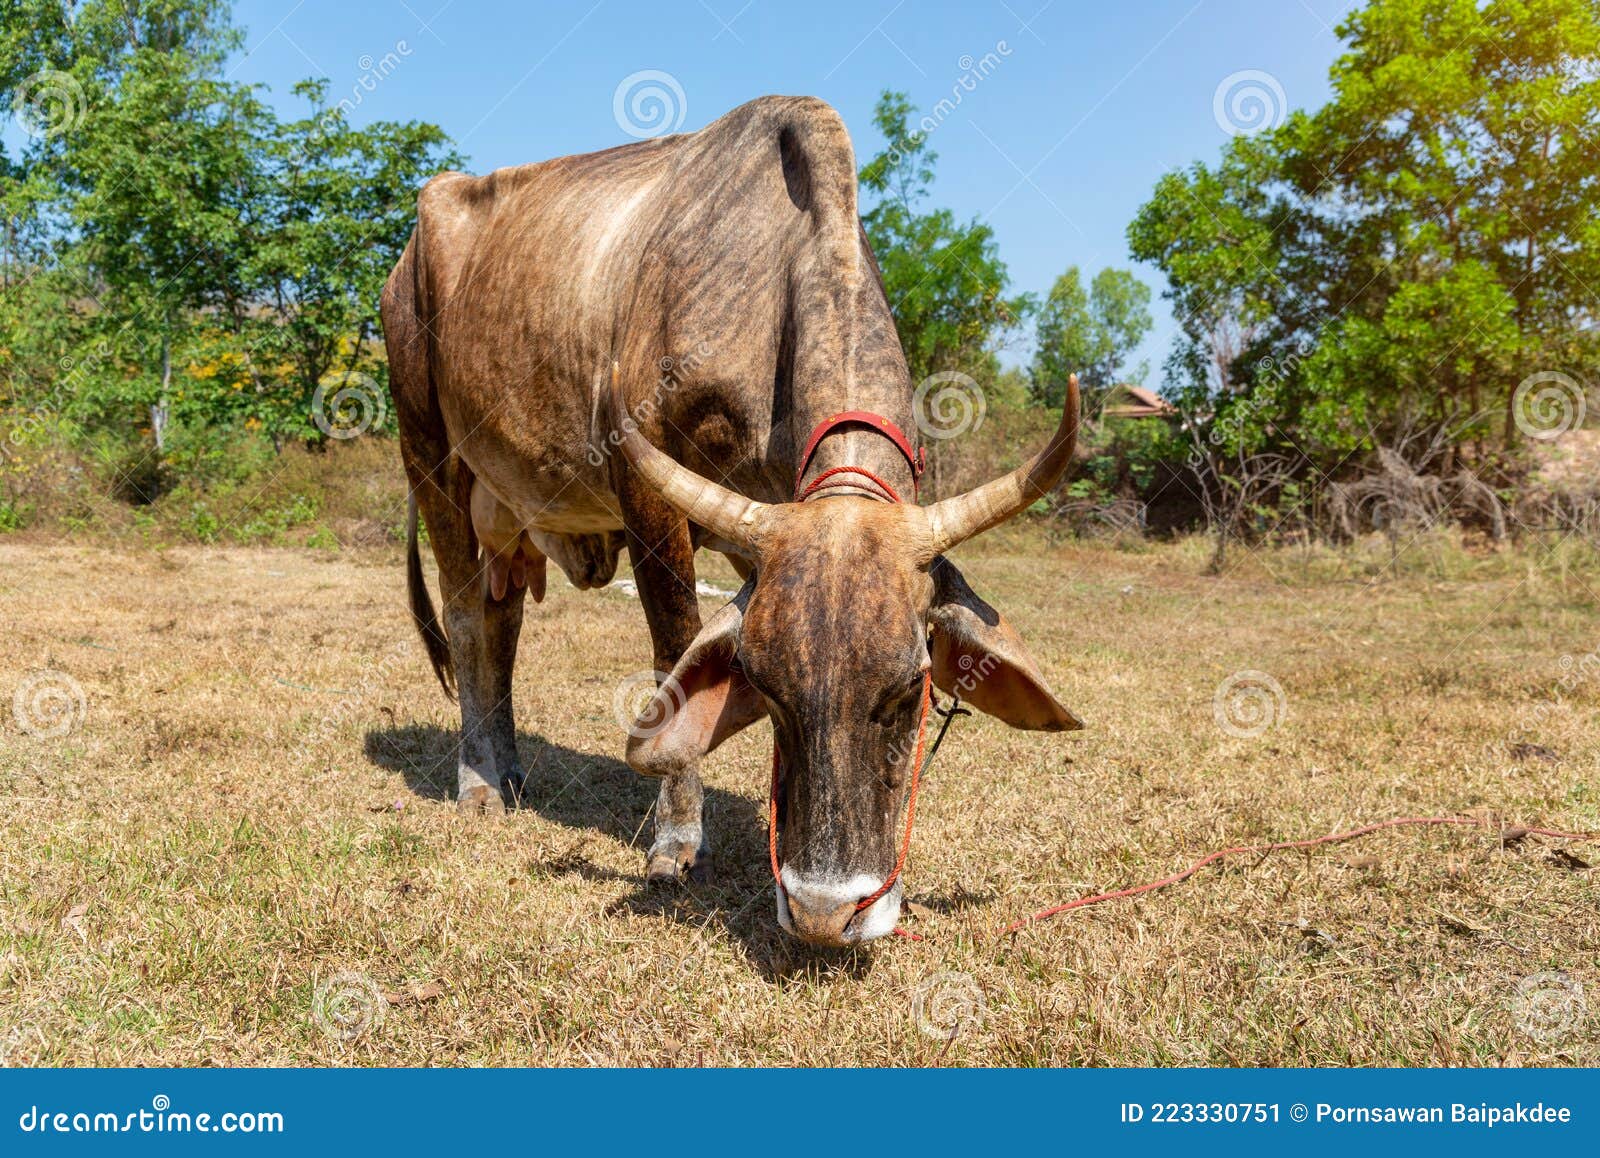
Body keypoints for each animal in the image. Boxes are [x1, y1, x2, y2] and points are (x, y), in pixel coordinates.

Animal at [376, 95, 1081, 946]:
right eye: (766, 690)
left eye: (909, 690)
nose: (824, 911)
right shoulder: (648, 496)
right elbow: (673, 650)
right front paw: (678, 841)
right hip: (430, 453)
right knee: (467, 618)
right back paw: (478, 780)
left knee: (502, 617)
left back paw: (510, 769)